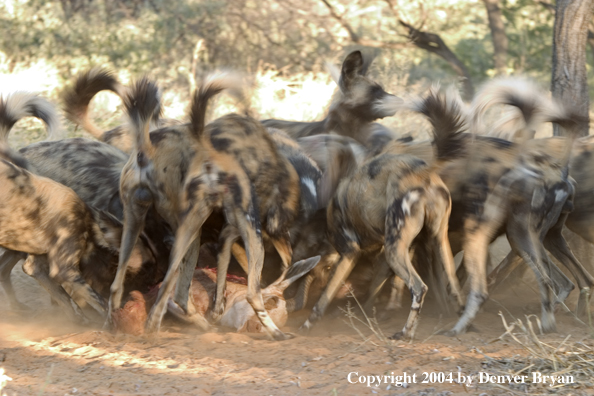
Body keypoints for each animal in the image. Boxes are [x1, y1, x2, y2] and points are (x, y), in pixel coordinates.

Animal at [138, 72, 300, 340]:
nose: (289, 248)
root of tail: (206, 146)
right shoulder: (245, 229)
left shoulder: (225, 237)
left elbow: (221, 275)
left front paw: (216, 310)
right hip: (247, 236)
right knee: (253, 294)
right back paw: (277, 333)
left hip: (190, 230)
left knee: (171, 284)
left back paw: (155, 325)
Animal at [300, 86, 468, 340]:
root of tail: (423, 171)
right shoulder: (390, 254)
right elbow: (376, 288)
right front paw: (371, 311)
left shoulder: (350, 253)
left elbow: (327, 293)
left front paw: (311, 321)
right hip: (433, 243)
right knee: (453, 282)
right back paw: (461, 322)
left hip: (394, 251)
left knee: (419, 288)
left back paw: (406, 332)